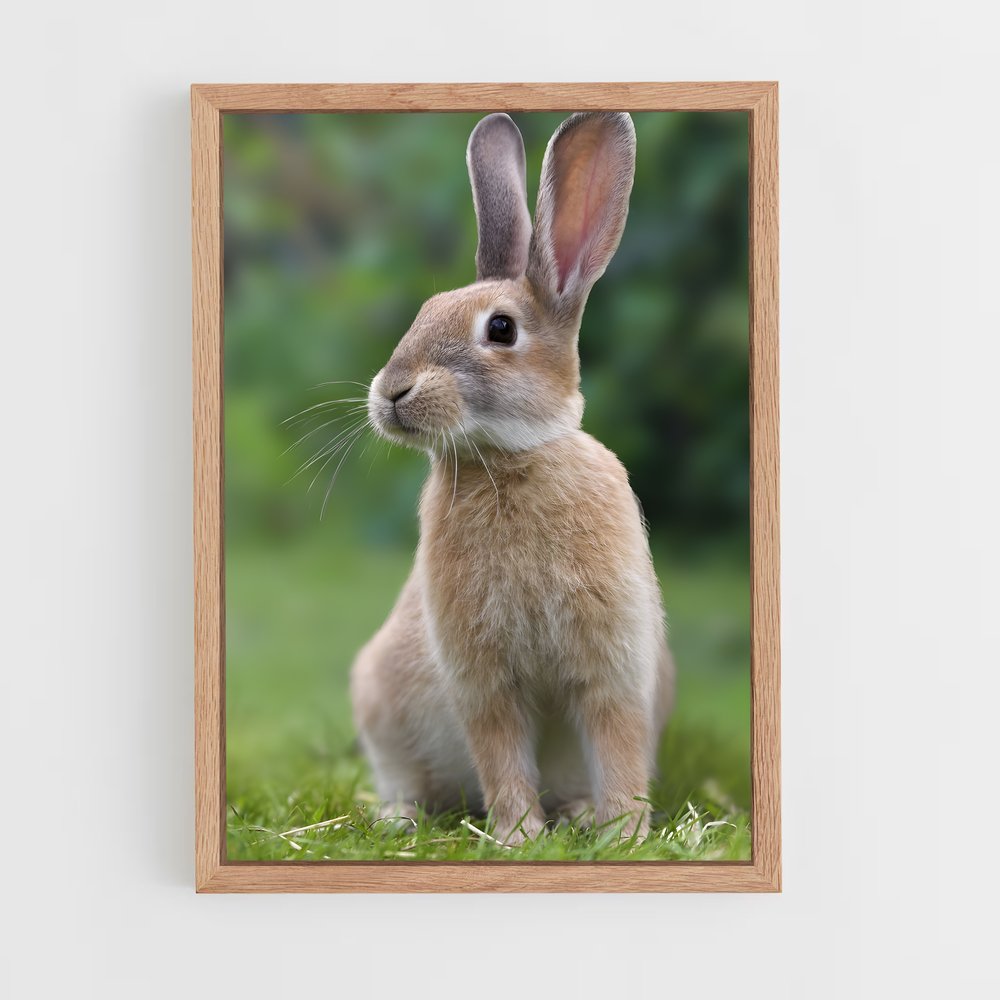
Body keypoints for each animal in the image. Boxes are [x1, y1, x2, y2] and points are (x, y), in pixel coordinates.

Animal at [351, 111, 675, 845]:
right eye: (423, 311)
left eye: (501, 329)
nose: (391, 392)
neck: (507, 460)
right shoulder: (483, 677)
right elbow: (500, 752)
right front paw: (519, 836)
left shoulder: (613, 664)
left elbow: (617, 744)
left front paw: (623, 833)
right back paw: (399, 819)